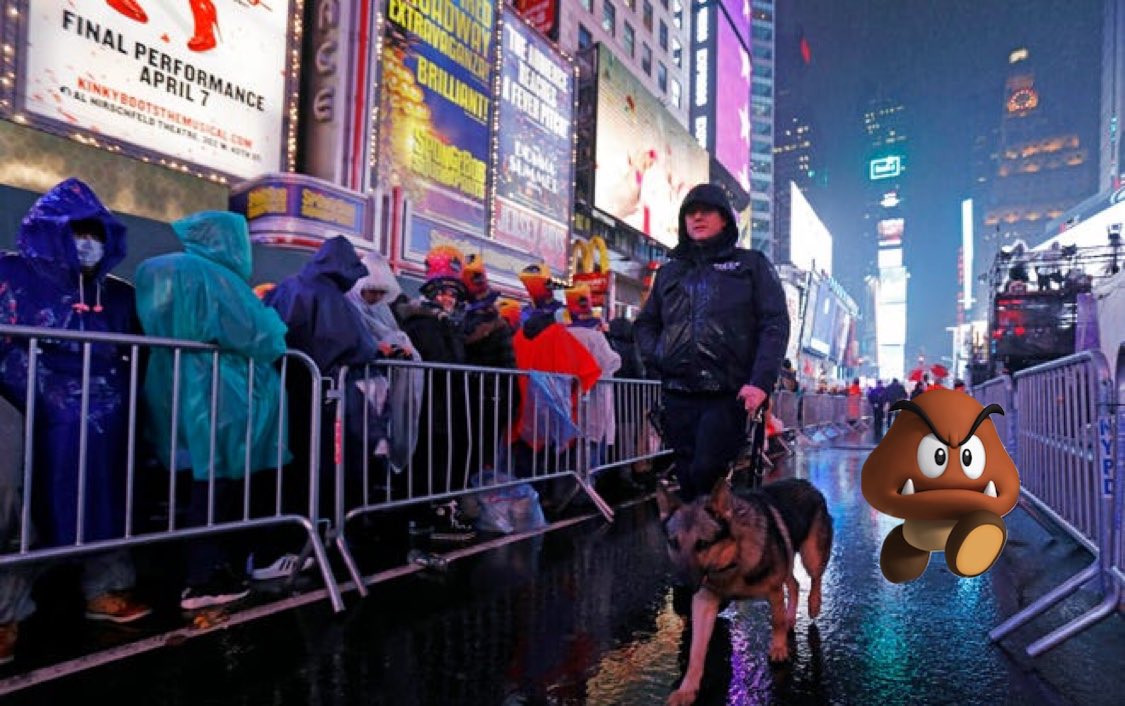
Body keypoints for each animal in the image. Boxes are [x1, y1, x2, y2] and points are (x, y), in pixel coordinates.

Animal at [657, 476, 832, 701]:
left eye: (702, 544)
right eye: (673, 543)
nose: (680, 586)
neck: (730, 560)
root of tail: (806, 483)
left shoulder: (774, 590)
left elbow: (776, 621)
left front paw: (778, 647)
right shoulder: (704, 602)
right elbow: (696, 650)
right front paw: (687, 688)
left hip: (812, 556)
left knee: (815, 578)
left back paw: (814, 604)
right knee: (794, 584)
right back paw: (791, 617)